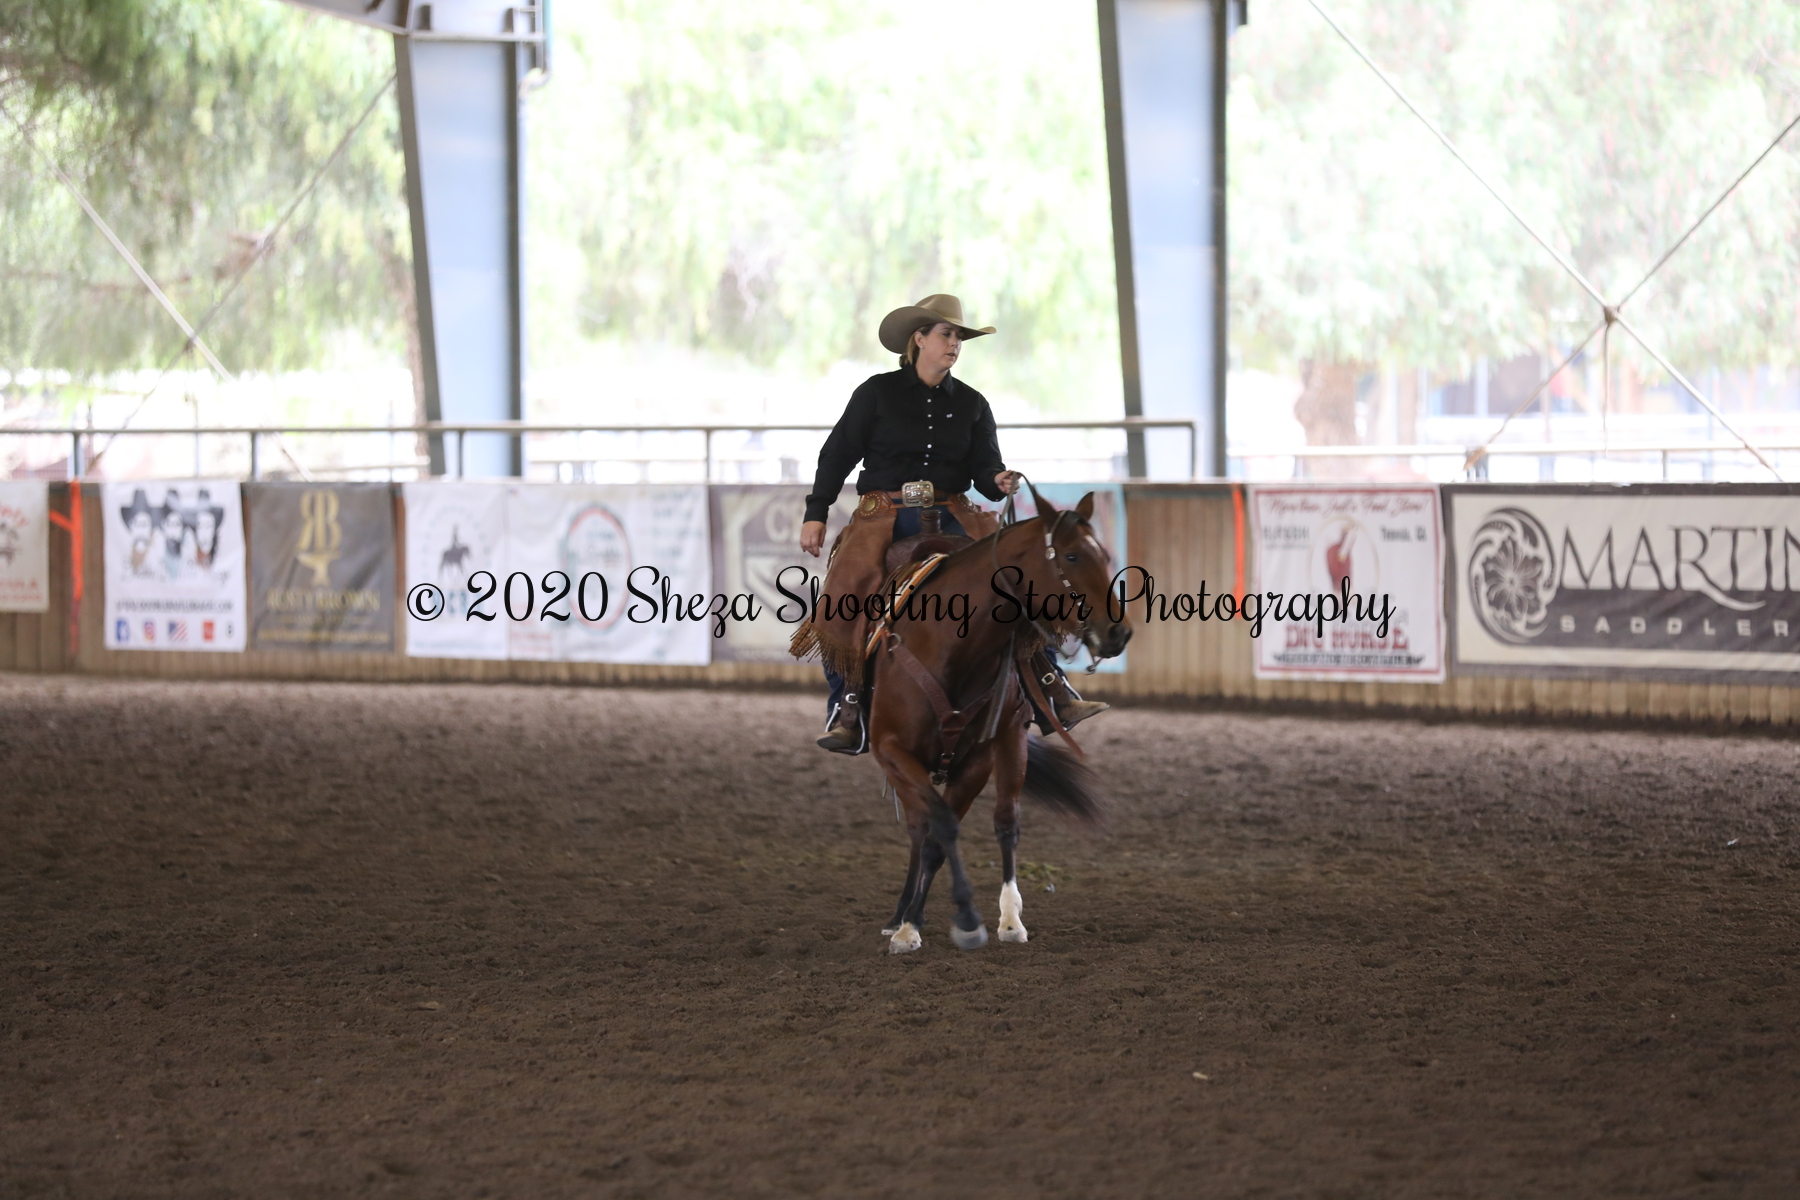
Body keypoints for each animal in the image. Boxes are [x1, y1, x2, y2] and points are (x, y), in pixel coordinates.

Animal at [866, 488, 1132, 953]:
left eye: (1102, 554)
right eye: (1072, 556)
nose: (1120, 633)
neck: (950, 646)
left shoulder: (979, 757)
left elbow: (950, 835)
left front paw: (975, 920)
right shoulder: (892, 749)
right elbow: (938, 826)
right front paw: (918, 923)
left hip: (1010, 740)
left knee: (1002, 822)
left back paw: (1006, 919)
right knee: (919, 825)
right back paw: (900, 912)